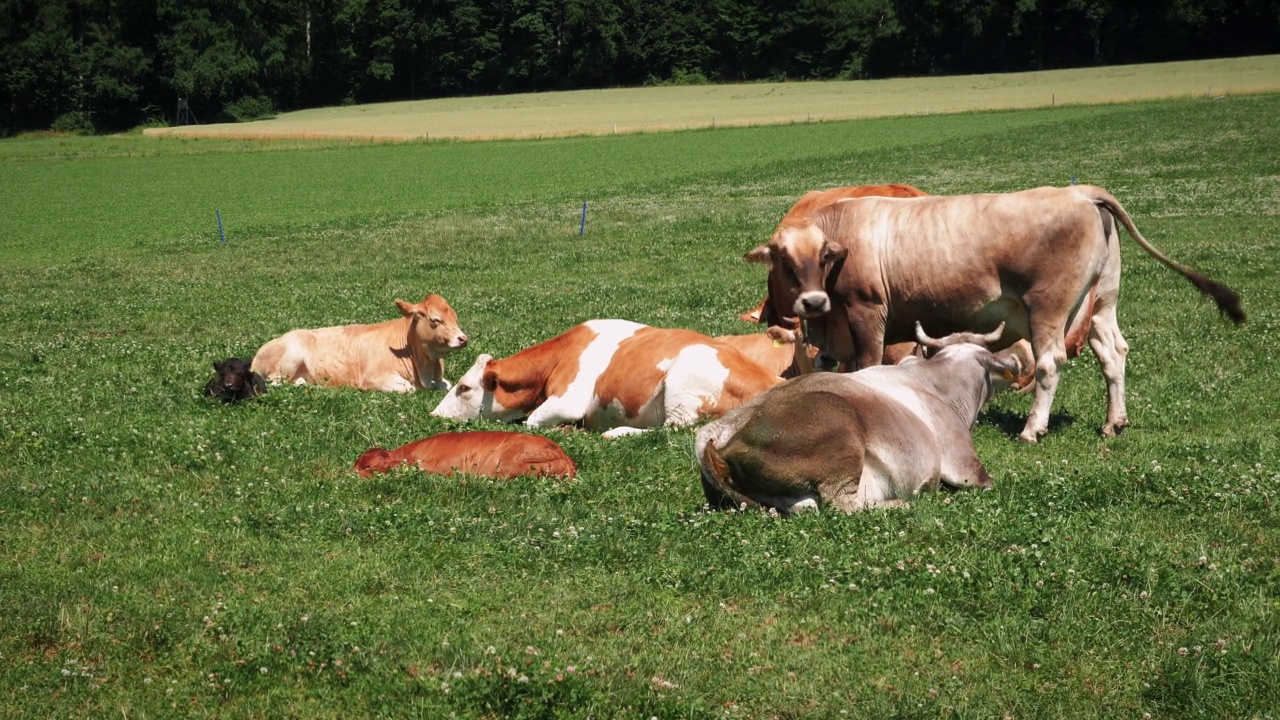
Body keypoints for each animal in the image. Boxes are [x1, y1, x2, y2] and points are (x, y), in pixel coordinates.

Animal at [252, 292, 468, 389]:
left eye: (455, 317)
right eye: (435, 320)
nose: (463, 338)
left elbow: (447, 385)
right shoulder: (373, 378)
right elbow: (408, 388)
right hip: (289, 357)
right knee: (275, 381)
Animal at [696, 322, 1024, 512]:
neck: (937, 382)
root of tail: (720, 433)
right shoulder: (963, 463)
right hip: (838, 429)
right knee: (845, 504)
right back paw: (901, 503)